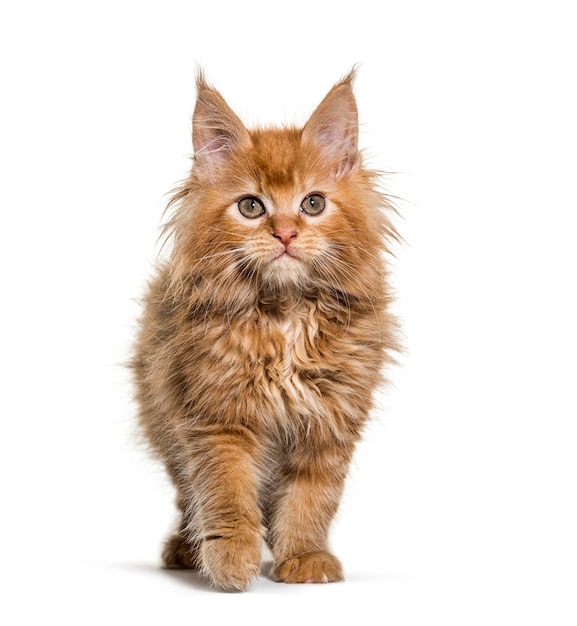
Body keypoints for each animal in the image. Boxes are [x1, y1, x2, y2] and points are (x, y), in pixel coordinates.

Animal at [132, 69, 398, 588]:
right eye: (251, 207)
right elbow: (226, 493)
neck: (285, 313)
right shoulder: (217, 419)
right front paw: (232, 558)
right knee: (186, 496)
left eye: (313, 203)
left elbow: (312, 497)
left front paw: (304, 556)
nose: (286, 233)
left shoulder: (328, 423)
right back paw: (187, 549)